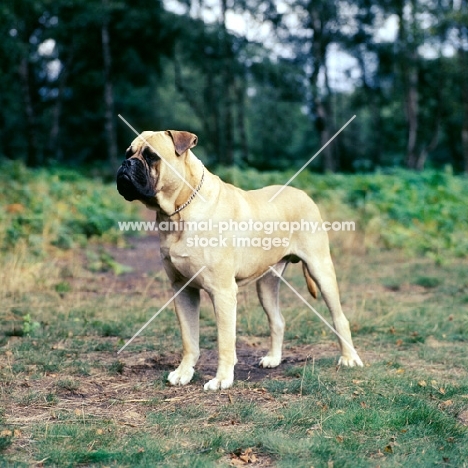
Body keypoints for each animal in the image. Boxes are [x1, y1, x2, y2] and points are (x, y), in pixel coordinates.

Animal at [115, 130, 364, 390]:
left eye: (151, 156)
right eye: (128, 152)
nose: (125, 164)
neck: (179, 211)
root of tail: (303, 194)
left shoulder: (222, 292)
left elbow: (225, 341)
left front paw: (221, 379)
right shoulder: (182, 290)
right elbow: (189, 339)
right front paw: (184, 373)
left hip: (321, 270)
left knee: (339, 318)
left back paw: (349, 358)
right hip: (266, 284)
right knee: (277, 320)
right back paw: (273, 359)